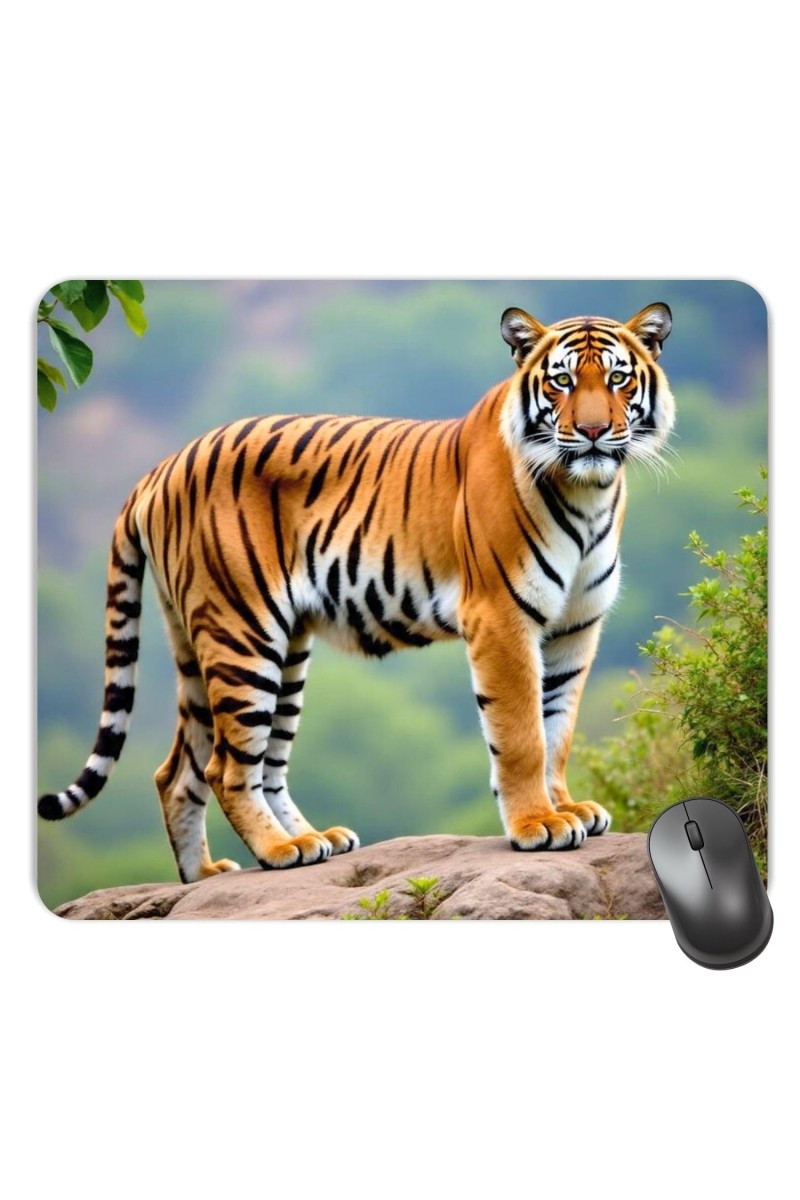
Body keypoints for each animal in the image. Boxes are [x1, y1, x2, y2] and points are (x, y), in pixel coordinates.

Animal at [38, 302, 674, 882]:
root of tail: (163, 466)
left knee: (189, 770)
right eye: (562, 381)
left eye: (617, 378)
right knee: (226, 766)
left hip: (250, 647)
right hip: (244, 632)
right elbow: (522, 734)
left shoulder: (574, 627)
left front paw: (567, 808)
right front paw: (536, 824)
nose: (592, 432)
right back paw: (279, 850)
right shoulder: (501, 618)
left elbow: (557, 727)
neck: (589, 493)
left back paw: (234, 866)